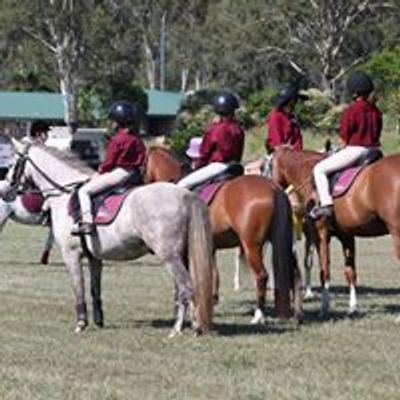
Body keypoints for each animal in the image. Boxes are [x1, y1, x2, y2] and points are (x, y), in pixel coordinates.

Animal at [5, 139, 216, 336]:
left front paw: (81, 324)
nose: (5, 191)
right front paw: (98, 321)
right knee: (184, 289)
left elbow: (78, 288)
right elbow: (94, 289)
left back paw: (181, 329)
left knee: (186, 287)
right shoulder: (94, 258)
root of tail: (184, 194)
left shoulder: (70, 255)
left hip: (169, 256)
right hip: (182, 255)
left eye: (14, 162)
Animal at [144, 145, 304, 324]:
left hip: (252, 246)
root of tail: (274, 188)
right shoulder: (210, 246)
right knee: (294, 273)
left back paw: (258, 315)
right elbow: (212, 273)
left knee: (262, 276)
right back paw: (297, 314)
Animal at [272, 145, 400, 318]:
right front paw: (353, 307)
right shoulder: (347, 235)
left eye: (266, 167)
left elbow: (324, 271)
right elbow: (350, 272)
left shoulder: (321, 234)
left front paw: (324, 307)